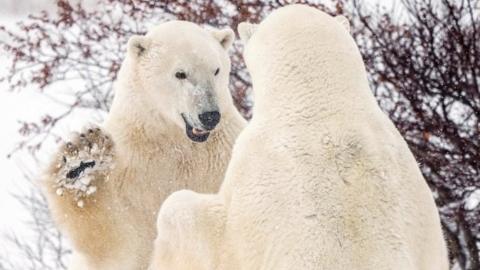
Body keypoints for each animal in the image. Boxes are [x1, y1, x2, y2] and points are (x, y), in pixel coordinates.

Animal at [41, 21, 246, 270]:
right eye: (180, 73)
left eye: (216, 70)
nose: (209, 116)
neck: (177, 142)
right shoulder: (129, 166)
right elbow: (113, 239)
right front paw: (80, 162)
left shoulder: (225, 153)